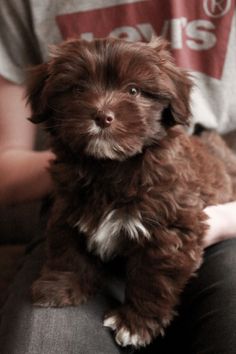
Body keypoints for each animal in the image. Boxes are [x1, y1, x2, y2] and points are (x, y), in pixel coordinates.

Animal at [27, 38, 236, 348]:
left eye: (134, 90)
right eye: (77, 89)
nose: (102, 116)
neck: (108, 167)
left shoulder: (169, 229)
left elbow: (153, 277)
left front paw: (135, 323)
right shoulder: (67, 207)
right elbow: (66, 248)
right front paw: (60, 287)